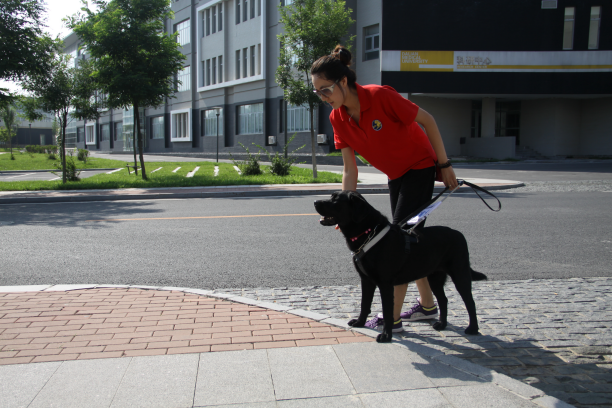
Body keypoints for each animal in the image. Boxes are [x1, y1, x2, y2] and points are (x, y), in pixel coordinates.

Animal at [314, 190, 486, 342]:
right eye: (331, 196)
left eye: (336, 200)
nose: (315, 201)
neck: (369, 233)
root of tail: (459, 234)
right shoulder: (366, 280)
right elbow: (364, 303)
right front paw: (360, 322)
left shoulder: (385, 284)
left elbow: (387, 310)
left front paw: (386, 336)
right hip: (434, 277)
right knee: (443, 300)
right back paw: (442, 324)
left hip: (460, 274)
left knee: (470, 302)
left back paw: (473, 328)